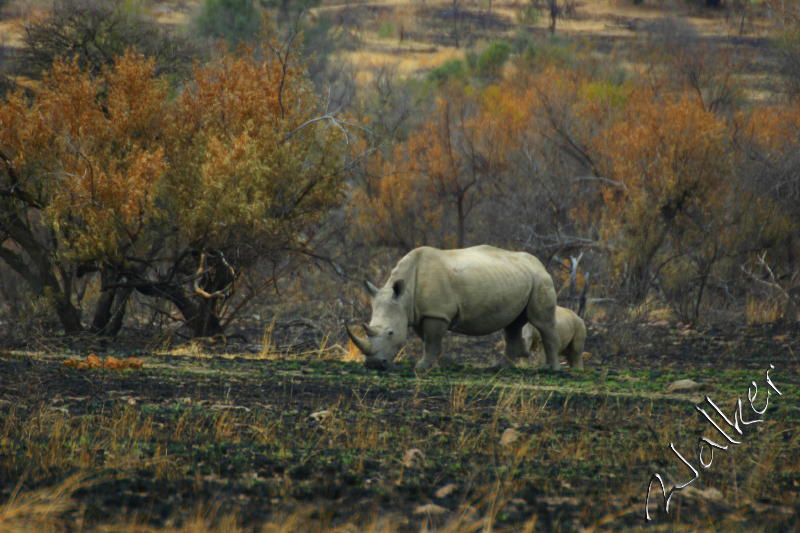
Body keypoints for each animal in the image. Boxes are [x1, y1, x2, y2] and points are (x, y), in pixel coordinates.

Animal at [346, 244, 564, 370]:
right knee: (512, 325)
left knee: (543, 324)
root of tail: (540, 264)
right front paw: (433, 365)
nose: (374, 365)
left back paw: (551, 370)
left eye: (390, 333)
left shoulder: (436, 313)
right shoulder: (419, 313)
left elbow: (431, 340)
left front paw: (421, 367)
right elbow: (428, 341)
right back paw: (501, 368)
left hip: (541, 279)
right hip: (520, 279)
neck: (404, 296)